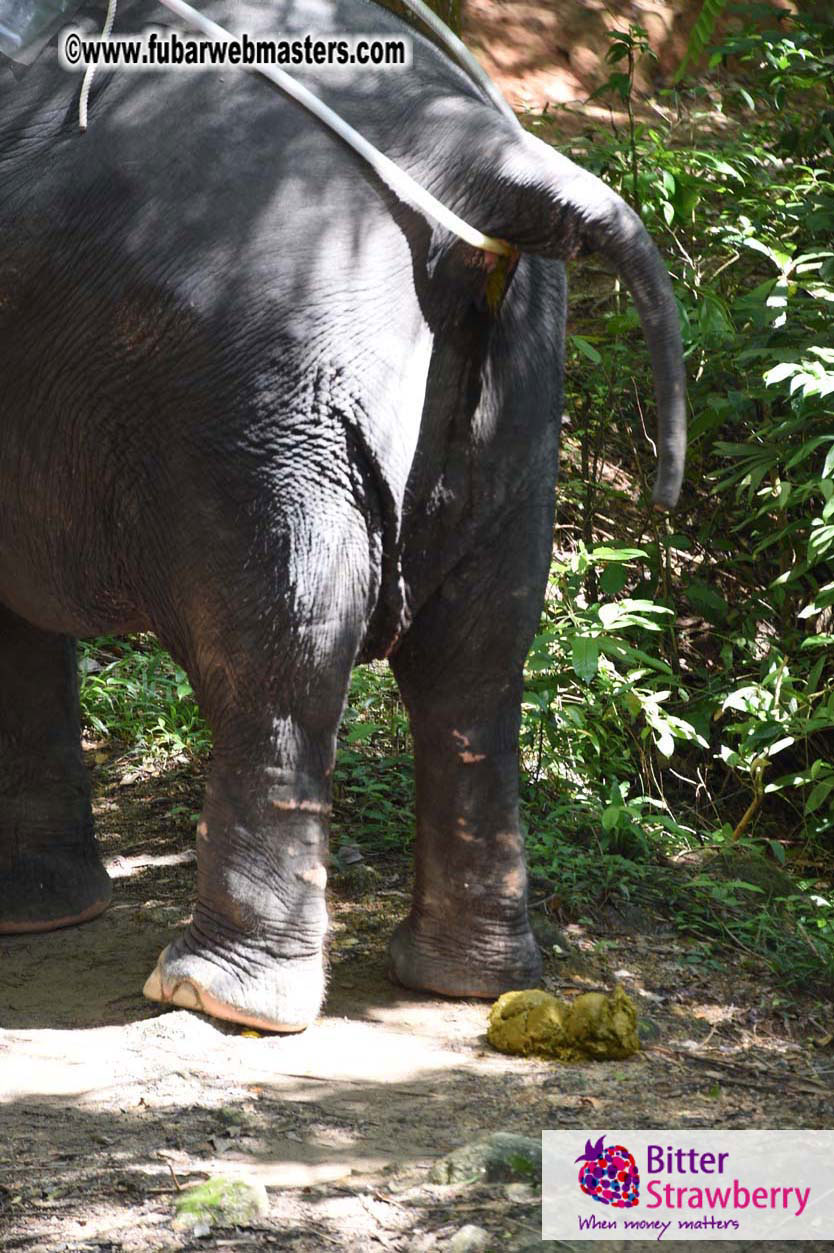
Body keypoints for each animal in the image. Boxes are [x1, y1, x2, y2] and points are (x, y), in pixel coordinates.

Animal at [0, 0, 685, 1031]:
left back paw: (218, 995)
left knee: (279, 658)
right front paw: (41, 915)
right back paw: (466, 978)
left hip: (263, 405)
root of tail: (479, 158)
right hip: (519, 386)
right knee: (478, 663)